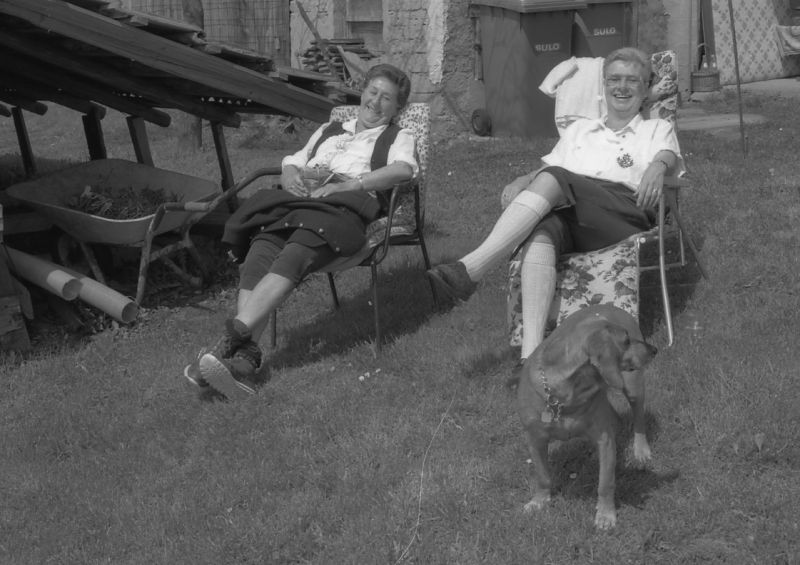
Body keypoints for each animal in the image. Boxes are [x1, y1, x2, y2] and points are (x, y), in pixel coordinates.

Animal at [512, 304, 657, 529]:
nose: (654, 349)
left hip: (632, 386)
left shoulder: (604, 440)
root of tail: (609, 305)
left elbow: (605, 482)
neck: (565, 395)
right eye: (625, 341)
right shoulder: (534, 440)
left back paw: (641, 449)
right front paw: (539, 501)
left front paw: (606, 514)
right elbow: (543, 476)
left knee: (638, 419)